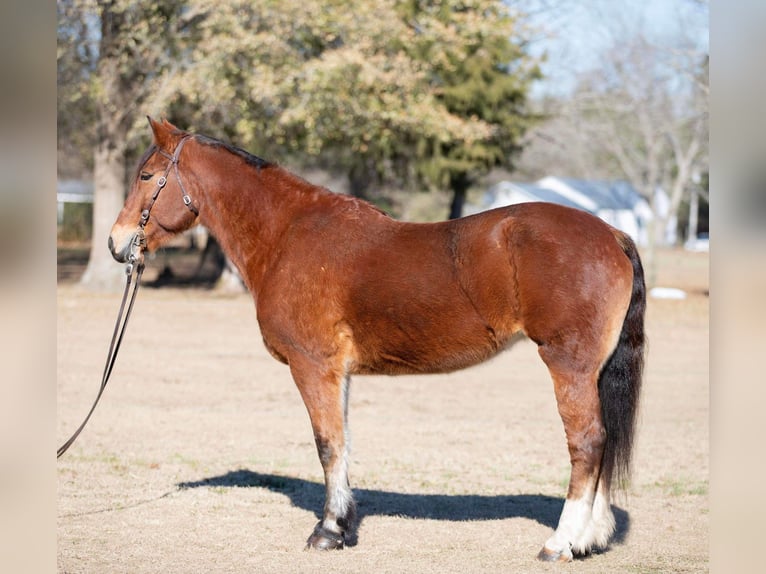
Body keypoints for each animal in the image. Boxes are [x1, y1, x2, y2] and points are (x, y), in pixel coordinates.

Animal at [109, 118, 648, 564]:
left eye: (146, 176)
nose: (117, 243)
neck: (289, 234)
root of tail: (611, 233)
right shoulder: (338, 373)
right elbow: (343, 443)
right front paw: (343, 524)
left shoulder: (313, 366)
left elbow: (327, 444)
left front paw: (327, 532)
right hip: (593, 373)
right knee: (602, 442)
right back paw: (589, 538)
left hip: (568, 366)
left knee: (587, 443)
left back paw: (561, 542)